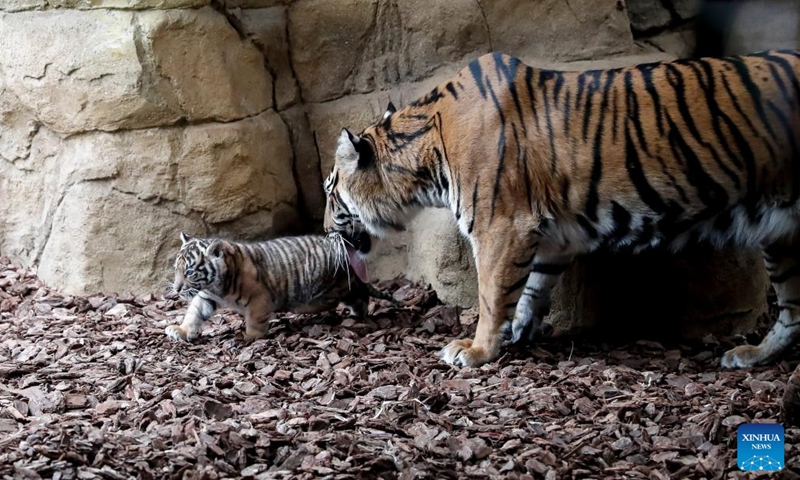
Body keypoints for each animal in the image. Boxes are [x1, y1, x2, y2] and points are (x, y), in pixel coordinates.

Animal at [164, 232, 397, 342]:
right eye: (176, 270)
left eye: (190, 273)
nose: (176, 290)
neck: (217, 285)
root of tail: (348, 261)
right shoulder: (206, 296)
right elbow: (194, 313)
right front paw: (181, 330)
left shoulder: (259, 298)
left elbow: (255, 319)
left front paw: (250, 336)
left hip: (340, 287)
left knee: (358, 298)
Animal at [323, 50, 800, 369]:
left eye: (330, 192)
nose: (325, 228)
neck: (425, 158)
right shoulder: (553, 236)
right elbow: (532, 287)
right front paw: (517, 332)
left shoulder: (501, 226)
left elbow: (491, 291)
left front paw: (475, 350)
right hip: (782, 235)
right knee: (793, 312)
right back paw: (753, 354)